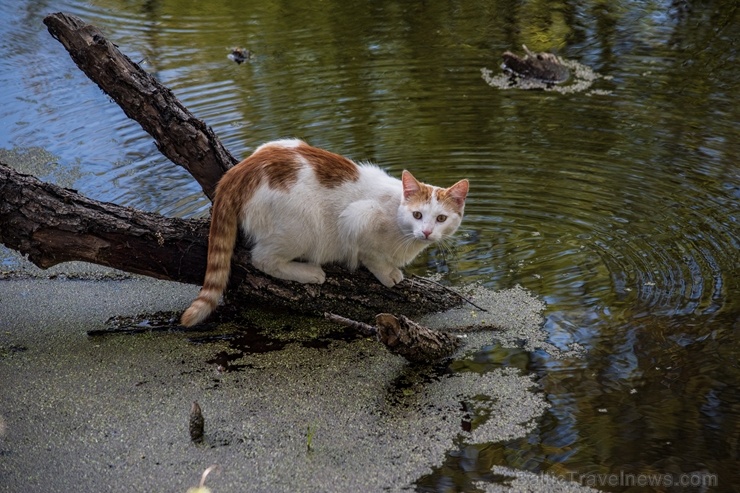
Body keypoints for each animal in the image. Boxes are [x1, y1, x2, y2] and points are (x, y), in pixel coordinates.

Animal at [181, 139, 468, 322]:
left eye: (441, 218)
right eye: (417, 215)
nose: (427, 232)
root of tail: (239, 171)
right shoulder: (357, 217)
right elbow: (371, 254)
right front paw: (388, 273)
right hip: (304, 226)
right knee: (262, 259)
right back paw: (310, 273)